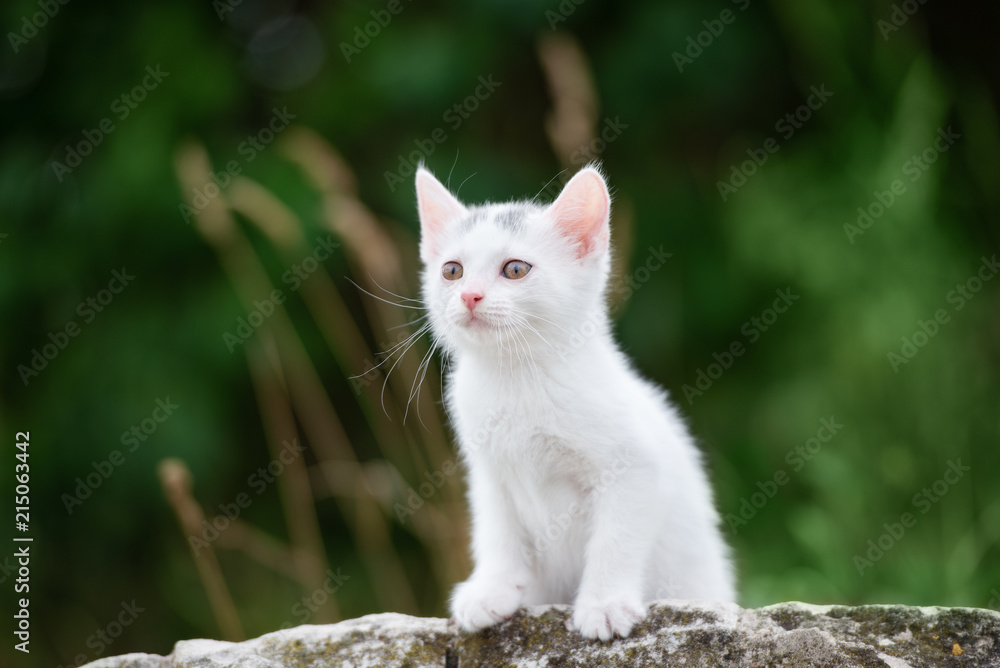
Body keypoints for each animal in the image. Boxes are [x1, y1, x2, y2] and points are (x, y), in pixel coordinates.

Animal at [414, 163, 736, 640]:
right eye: (451, 271)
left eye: (515, 269)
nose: (469, 295)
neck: (517, 378)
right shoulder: (488, 472)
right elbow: (497, 531)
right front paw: (491, 590)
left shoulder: (635, 468)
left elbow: (615, 540)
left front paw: (604, 605)